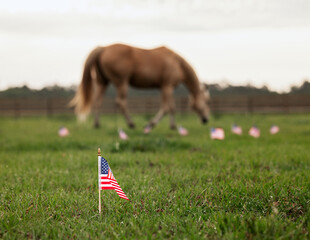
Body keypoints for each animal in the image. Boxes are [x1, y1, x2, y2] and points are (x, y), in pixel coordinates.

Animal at [70, 43, 211, 129]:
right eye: (207, 102)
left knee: (98, 102)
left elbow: (170, 107)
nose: (206, 120)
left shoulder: (164, 88)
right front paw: (153, 123)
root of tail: (104, 48)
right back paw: (131, 124)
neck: (177, 63)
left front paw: (171, 125)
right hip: (121, 82)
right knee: (121, 102)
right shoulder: (167, 86)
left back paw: (97, 124)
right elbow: (168, 107)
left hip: (102, 82)